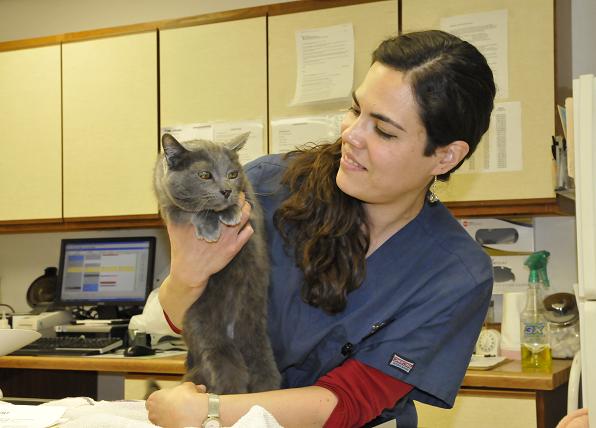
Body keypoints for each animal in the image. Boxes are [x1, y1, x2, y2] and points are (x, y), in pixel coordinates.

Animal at [154, 132, 280, 392]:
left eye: (232, 174)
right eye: (204, 175)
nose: (226, 191)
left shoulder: (249, 198)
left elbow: (242, 203)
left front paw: (231, 212)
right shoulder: (169, 207)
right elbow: (192, 211)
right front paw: (210, 226)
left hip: (253, 334)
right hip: (210, 337)